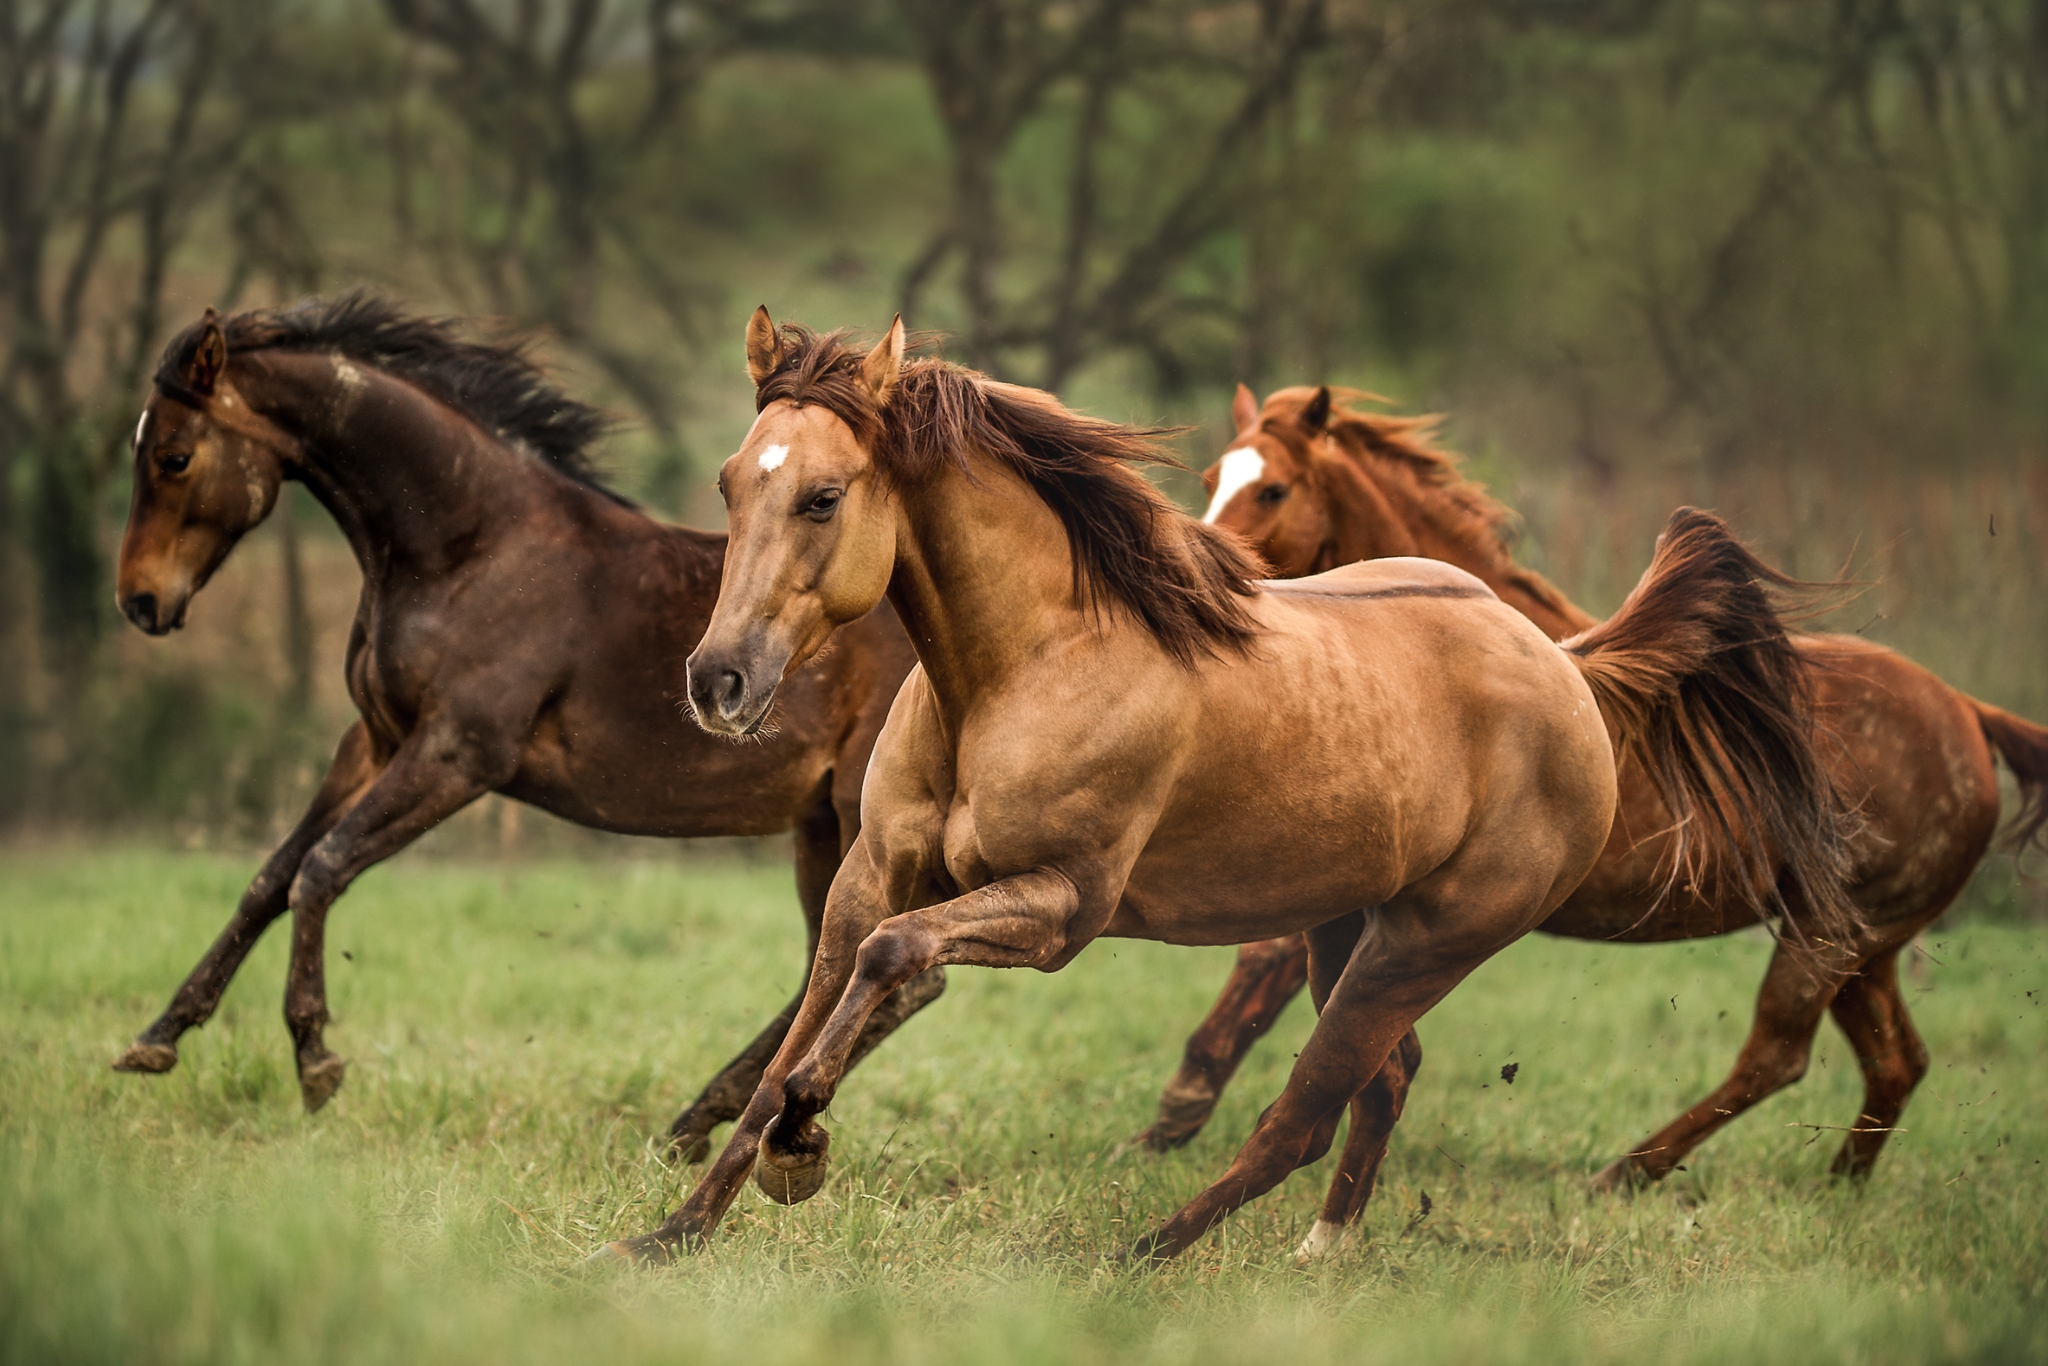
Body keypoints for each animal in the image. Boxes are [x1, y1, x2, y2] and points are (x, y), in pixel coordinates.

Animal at [112, 295, 936, 1159]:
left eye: (172, 456)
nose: (139, 601)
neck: (471, 548)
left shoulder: (458, 754)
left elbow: (322, 868)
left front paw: (315, 1057)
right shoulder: (373, 740)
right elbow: (270, 877)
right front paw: (157, 1037)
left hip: (858, 817)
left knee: (887, 978)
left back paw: (712, 1119)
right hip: (818, 824)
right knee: (829, 967)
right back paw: (693, 1124)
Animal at [598, 311, 1856, 1263]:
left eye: (822, 495)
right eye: (730, 483)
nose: (717, 680)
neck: (1020, 667)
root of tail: (1566, 663)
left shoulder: (1060, 907)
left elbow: (883, 966)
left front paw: (799, 1155)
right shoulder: (871, 875)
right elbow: (803, 1032)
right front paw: (671, 1231)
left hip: (1428, 939)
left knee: (1304, 1111)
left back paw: (1142, 1252)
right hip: (1343, 927)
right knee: (1383, 1082)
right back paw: (1319, 1252)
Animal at [1142, 382, 2048, 1226]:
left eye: (1274, 489)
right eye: (1215, 476)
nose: (1202, 567)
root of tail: (1969, 714)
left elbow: (1269, 961)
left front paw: (1173, 1114)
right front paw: (1178, 1119)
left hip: (1827, 940)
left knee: (1777, 1055)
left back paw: (1624, 1174)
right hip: (1864, 944)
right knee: (1896, 1062)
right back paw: (1838, 1193)